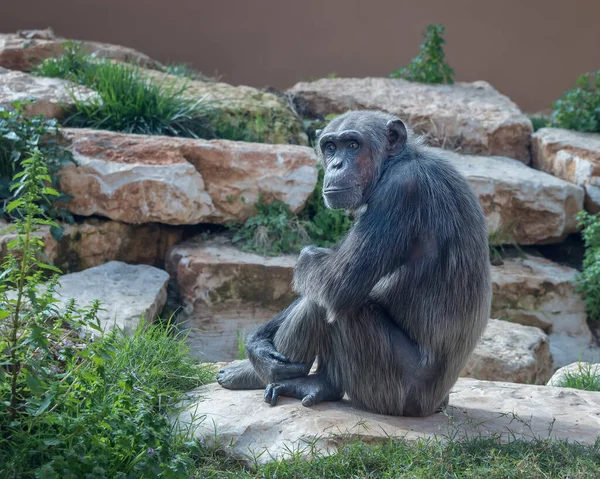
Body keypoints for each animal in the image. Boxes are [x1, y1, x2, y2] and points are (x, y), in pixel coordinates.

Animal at [218, 110, 490, 418]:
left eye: (352, 145)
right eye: (330, 147)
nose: (336, 163)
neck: (394, 163)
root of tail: (434, 405)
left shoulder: (401, 190)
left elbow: (335, 282)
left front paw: (308, 254)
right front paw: (258, 347)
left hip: (389, 388)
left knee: (329, 303)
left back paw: (301, 382)